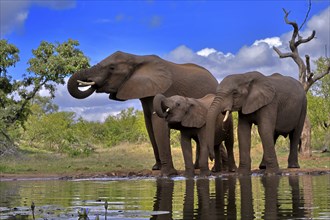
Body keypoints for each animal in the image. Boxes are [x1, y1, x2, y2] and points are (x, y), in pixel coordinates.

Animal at [67, 50, 218, 176]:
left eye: (112, 68)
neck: (137, 58)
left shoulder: (163, 88)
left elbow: (158, 123)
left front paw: (168, 173)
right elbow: (149, 124)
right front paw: (156, 168)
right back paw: (197, 167)